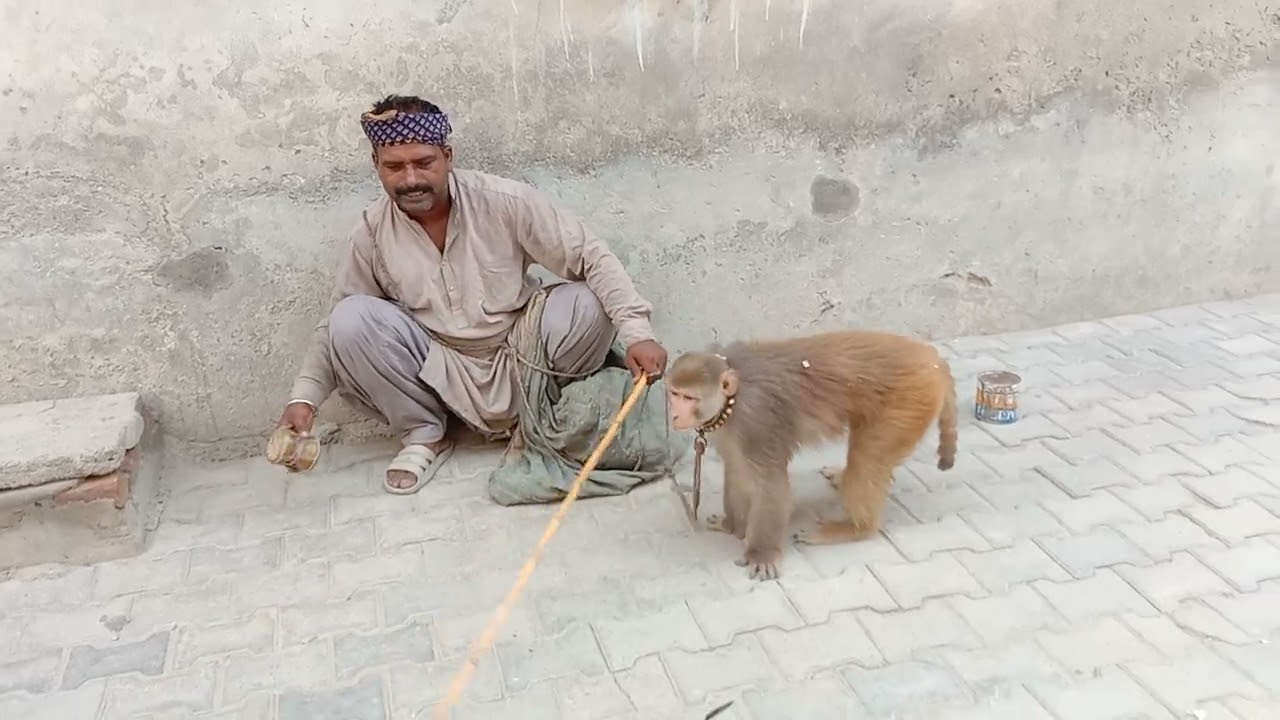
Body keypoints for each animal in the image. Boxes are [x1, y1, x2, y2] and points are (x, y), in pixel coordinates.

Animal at [666, 329, 958, 581]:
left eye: (689, 398)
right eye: (675, 394)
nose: (675, 415)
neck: (732, 399)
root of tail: (932, 358)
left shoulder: (755, 424)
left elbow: (771, 488)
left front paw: (762, 554)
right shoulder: (730, 431)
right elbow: (737, 471)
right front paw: (732, 525)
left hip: (909, 400)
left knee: (867, 460)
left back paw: (858, 527)